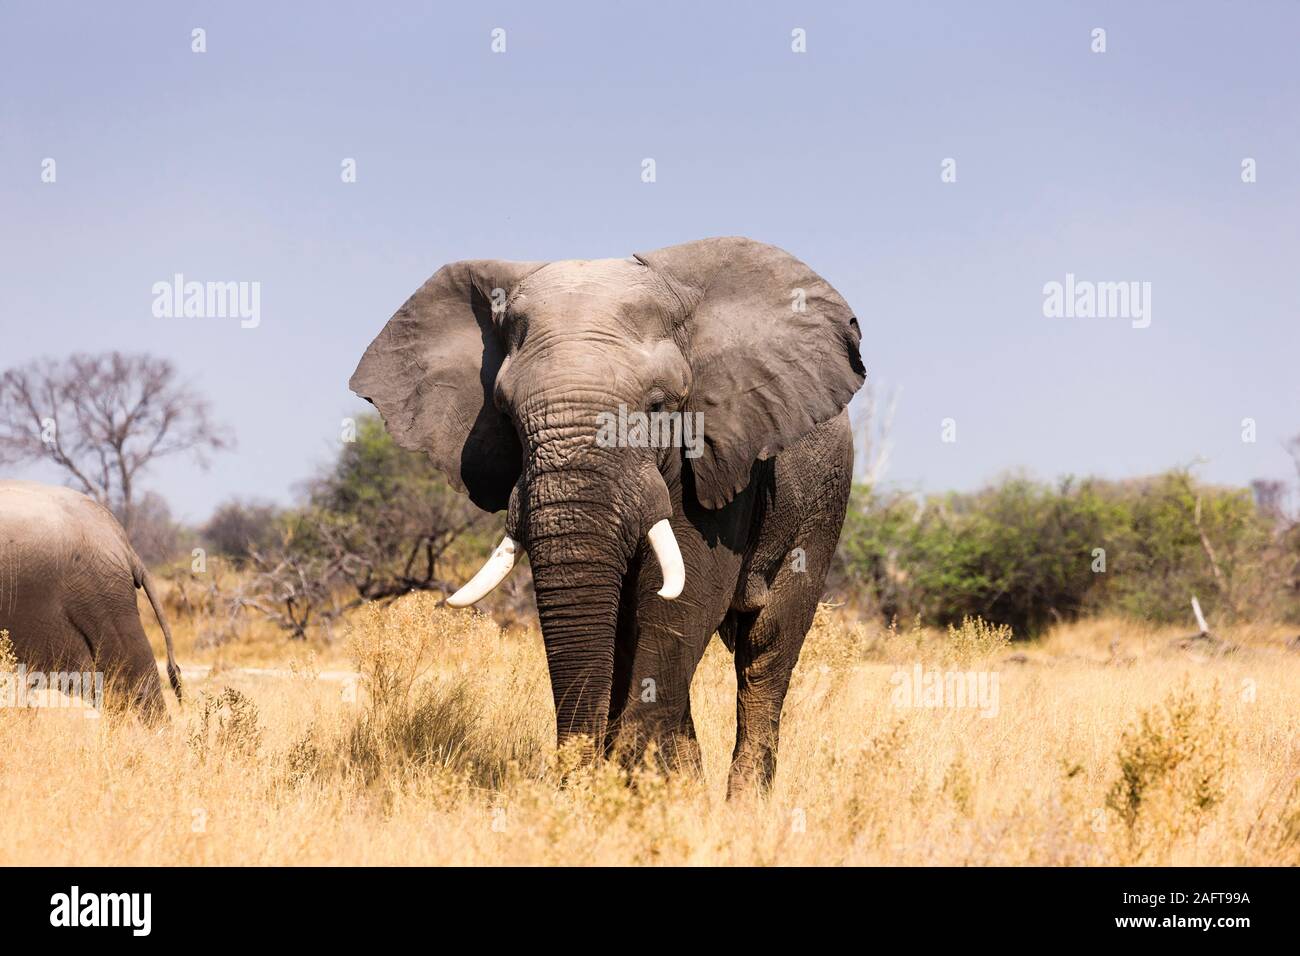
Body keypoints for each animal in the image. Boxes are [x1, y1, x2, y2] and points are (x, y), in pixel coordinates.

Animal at [351, 235, 868, 796]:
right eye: (506, 415)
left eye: (659, 407)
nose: (569, 783)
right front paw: (644, 788)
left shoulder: (725, 460)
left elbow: (681, 599)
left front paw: (642, 789)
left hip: (822, 502)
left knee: (766, 649)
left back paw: (743, 805)